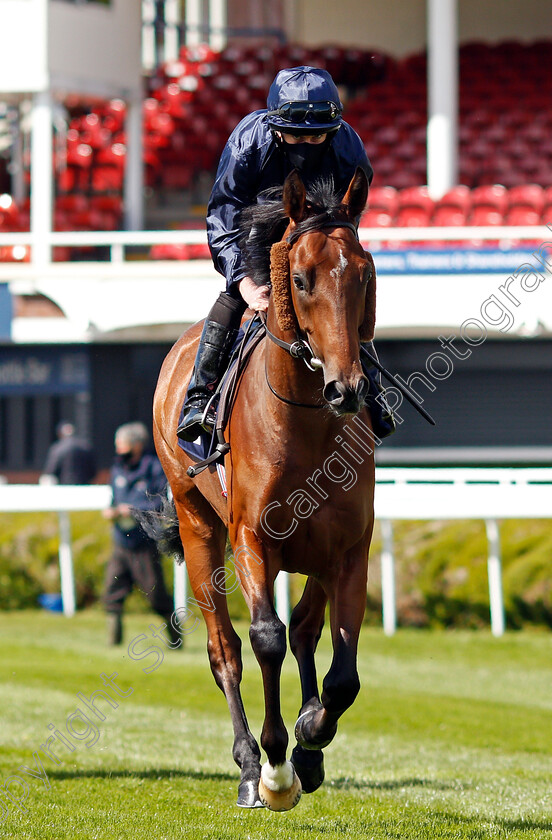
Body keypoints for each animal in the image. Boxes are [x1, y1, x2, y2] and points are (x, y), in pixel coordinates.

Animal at [155, 166, 380, 812]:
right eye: (300, 279)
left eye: (364, 274)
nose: (347, 389)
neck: (305, 423)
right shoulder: (252, 538)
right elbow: (265, 638)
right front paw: (277, 766)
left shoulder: (348, 549)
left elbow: (341, 673)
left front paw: (310, 737)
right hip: (197, 525)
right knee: (225, 650)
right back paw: (251, 764)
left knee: (305, 630)